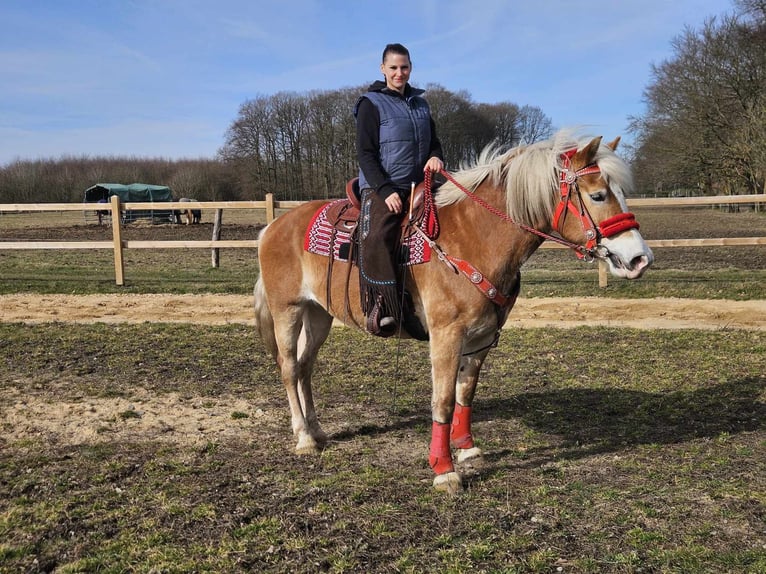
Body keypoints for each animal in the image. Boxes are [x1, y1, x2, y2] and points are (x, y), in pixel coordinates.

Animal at [254, 132, 656, 496]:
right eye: (598, 195)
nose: (640, 258)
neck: (473, 238)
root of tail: (272, 227)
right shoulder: (446, 335)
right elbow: (444, 401)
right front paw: (444, 470)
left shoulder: (481, 338)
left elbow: (466, 393)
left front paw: (466, 449)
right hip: (287, 311)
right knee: (289, 369)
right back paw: (304, 437)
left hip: (318, 315)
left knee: (305, 367)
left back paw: (317, 429)